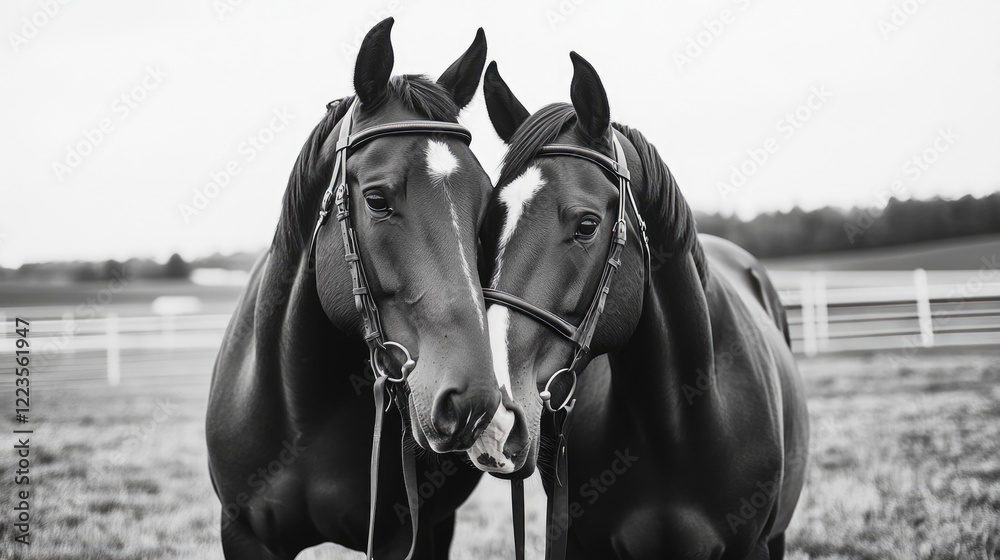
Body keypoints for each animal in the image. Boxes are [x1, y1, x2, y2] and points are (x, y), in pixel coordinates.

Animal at [207, 18, 517, 559]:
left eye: (487, 206)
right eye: (376, 199)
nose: (472, 399)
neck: (302, 411)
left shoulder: (403, 536)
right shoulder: (242, 533)